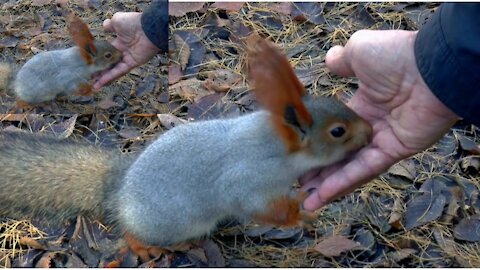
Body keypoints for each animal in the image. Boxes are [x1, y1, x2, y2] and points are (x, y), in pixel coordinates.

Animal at [0, 35, 372, 262]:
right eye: (338, 132)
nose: (370, 132)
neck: (276, 146)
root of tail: (118, 191)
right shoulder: (249, 180)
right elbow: (259, 208)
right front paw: (300, 214)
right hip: (168, 224)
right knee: (132, 233)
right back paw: (145, 246)